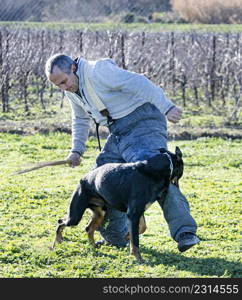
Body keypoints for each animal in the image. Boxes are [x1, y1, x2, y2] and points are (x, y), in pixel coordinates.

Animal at [51, 146, 183, 262]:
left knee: (88, 229)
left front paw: (127, 236)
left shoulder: (138, 212)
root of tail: (83, 179)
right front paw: (138, 257)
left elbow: (142, 228)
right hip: (75, 217)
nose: (178, 188)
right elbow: (136, 240)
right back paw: (57, 241)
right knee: (61, 223)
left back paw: (93, 247)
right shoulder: (133, 213)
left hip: (100, 213)